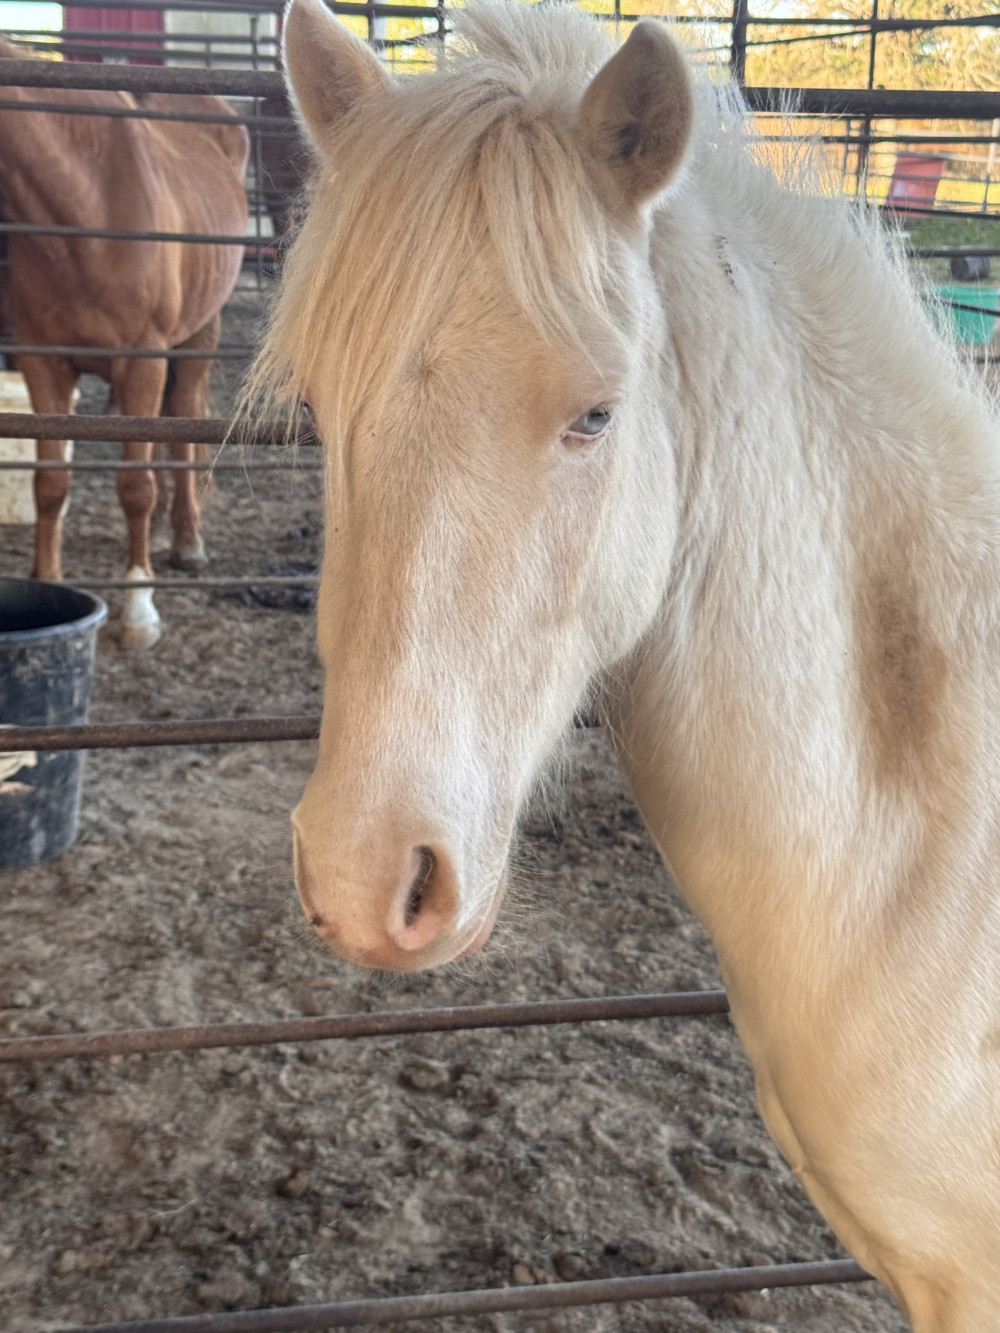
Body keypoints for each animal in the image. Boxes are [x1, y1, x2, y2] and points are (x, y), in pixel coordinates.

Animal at [0, 43, 249, 647]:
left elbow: (135, 485)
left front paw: (139, 608)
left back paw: (185, 541)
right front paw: (48, 582)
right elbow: (50, 482)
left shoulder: (143, 361)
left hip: (196, 339)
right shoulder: (44, 364)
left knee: (182, 429)